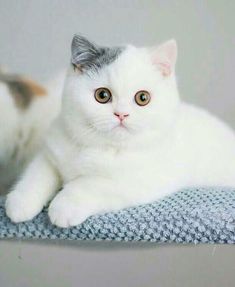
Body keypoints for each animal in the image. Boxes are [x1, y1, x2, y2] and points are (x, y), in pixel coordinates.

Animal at [4, 35, 235, 227]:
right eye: (102, 95)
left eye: (143, 98)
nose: (121, 114)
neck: (99, 147)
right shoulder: (51, 152)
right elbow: (37, 173)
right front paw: (20, 202)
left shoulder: (141, 180)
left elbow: (90, 183)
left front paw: (64, 206)